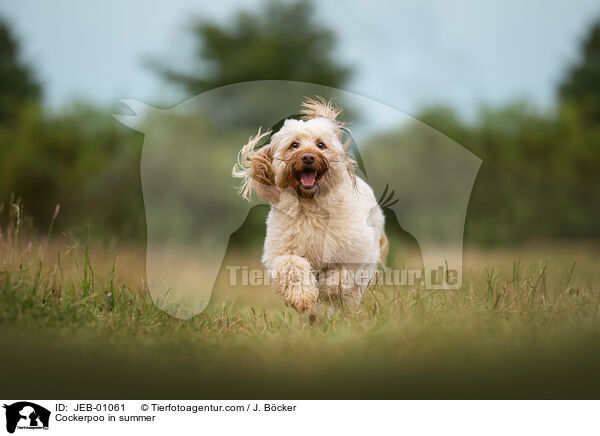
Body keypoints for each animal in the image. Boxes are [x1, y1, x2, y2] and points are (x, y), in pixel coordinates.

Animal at [232, 96, 386, 312]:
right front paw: (302, 297)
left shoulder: (352, 253)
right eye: (294, 145)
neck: (311, 205)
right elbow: (293, 268)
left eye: (320, 145)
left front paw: (327, 291)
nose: (308, 157)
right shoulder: (283, 252)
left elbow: (338, 278)